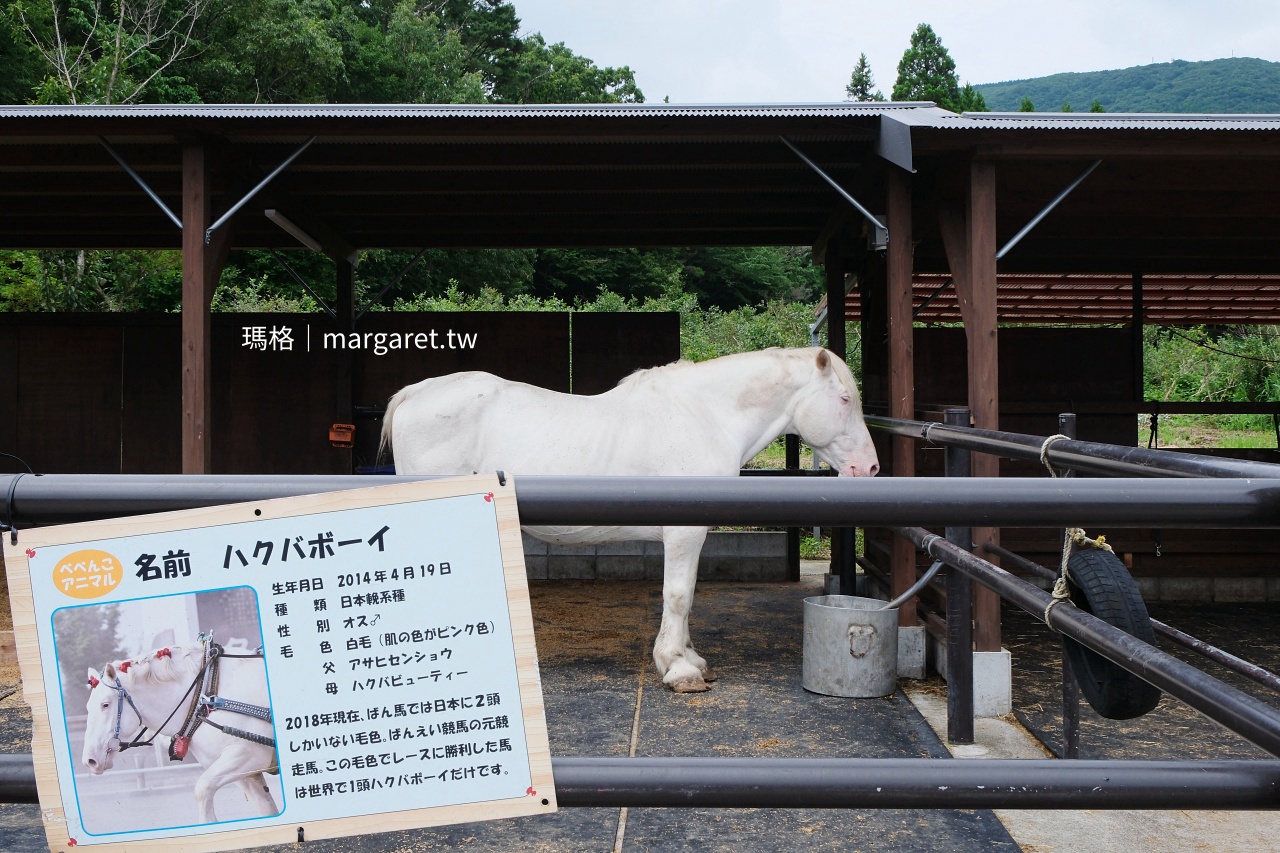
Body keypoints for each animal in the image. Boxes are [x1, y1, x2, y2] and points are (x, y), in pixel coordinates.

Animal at [81, 638, 279, 824]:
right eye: (88, 707)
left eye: (105, 704)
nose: (89, 760)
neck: (204, 693)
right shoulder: (247, 774)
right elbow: (267, 809)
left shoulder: (250, 754)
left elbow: (202, 789)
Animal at [381, 346, 879, 693]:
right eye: (845, 398)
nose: (870, 469)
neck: (705, 417)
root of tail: (414, 394)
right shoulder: (683, 534)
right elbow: (678, 595)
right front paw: (678, 668)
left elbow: (688, 596)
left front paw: (692, 660)